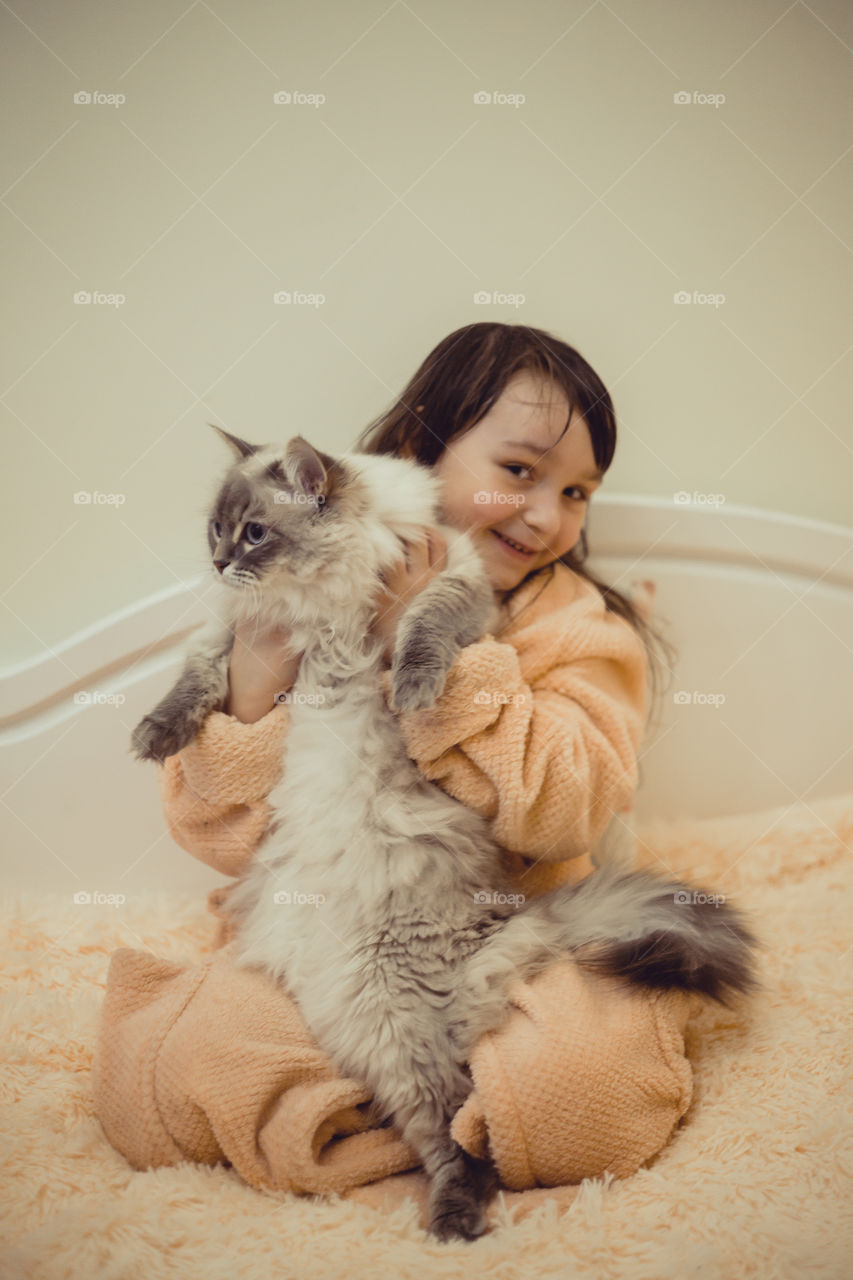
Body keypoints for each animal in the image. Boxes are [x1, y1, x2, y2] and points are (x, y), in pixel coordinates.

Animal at [131, 430, 758, 1239]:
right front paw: (155, 735)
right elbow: (196, 682)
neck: (319, 599)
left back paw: (451, 1224)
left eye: (255, 532)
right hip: (360, 1023)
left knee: (461, 1131)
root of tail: (502, 925)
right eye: (217, 529)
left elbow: (425, 630)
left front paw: (414, 692)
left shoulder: (453, 579)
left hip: (395, 1021)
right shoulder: (233, 637)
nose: (217, 562)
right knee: (422, 1123)